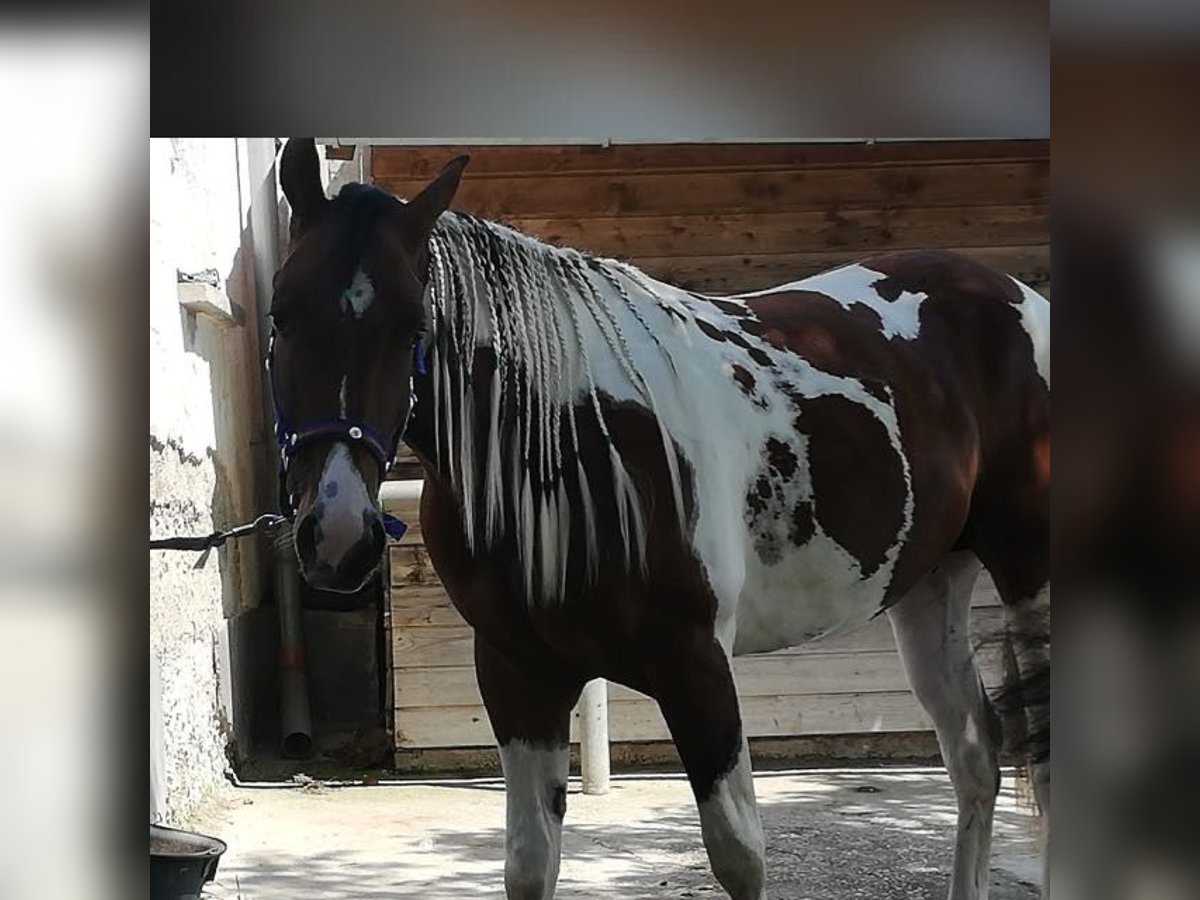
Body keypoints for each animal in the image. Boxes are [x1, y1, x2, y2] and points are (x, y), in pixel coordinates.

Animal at [270, 135, 1051, 900]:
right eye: (280, 311)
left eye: (413, 325)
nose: (338, 535)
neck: (570, 445)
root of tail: (1015, 294)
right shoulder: (519, 674)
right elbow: (529, 862)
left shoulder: (696, 667)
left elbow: (738, 855)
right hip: (929, 584)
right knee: (976, 756)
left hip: (1027, 574)